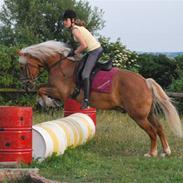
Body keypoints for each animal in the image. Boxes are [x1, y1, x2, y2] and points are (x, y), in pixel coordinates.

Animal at [17, 40, 182, 157]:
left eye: (22, 67)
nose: (26, 85)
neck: (59, 65)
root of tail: (145, 82)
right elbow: (41, 88)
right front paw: (46, 102)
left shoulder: (61, 92)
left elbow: (41, 89)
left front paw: (47, 102)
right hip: (148, 113)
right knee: (159, 128)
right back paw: (166, 151)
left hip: (138, 116)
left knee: (152, 131)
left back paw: (151, 153)